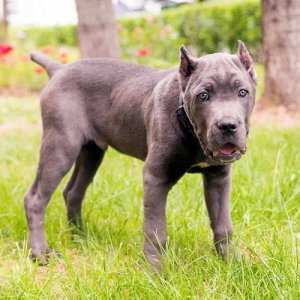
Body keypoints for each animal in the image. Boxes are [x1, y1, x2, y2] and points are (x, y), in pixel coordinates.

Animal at [24, 41, 256, 270]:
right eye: (203, 96)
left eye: (242, 92)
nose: (227, 125)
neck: (187, 122)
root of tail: (58, 69)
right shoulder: (155, 176)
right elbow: (156, 231)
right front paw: (155, 271)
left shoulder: (218, 177)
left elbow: (223, 224)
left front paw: (232, 263)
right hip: (60, 145)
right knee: (35, 198)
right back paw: (41, 254)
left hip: (91, 152)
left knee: (73, 192)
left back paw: (80, 237)